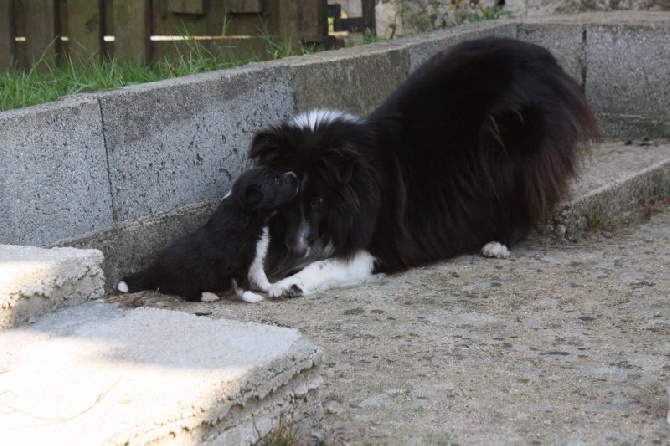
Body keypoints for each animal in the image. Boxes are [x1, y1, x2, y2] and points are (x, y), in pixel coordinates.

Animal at [117, 167, 300, 304]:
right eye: (276, 180)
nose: (294, 175)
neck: (247, 215)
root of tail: (152, 270)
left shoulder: (255, 256)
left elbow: (260, 275)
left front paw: (271, 287)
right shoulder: (237, 263)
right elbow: (243, 283)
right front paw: (251, 297)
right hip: (183, 278)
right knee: (189, 294)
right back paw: (208, 296)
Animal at [247, 37, 600, 296]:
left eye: (318, 200)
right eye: (287, 201)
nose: (296, 247)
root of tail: (543, 55)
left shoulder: (385, 245)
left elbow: (327, 264)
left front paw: (290, 283)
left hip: (507, 141)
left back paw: (498, 243)